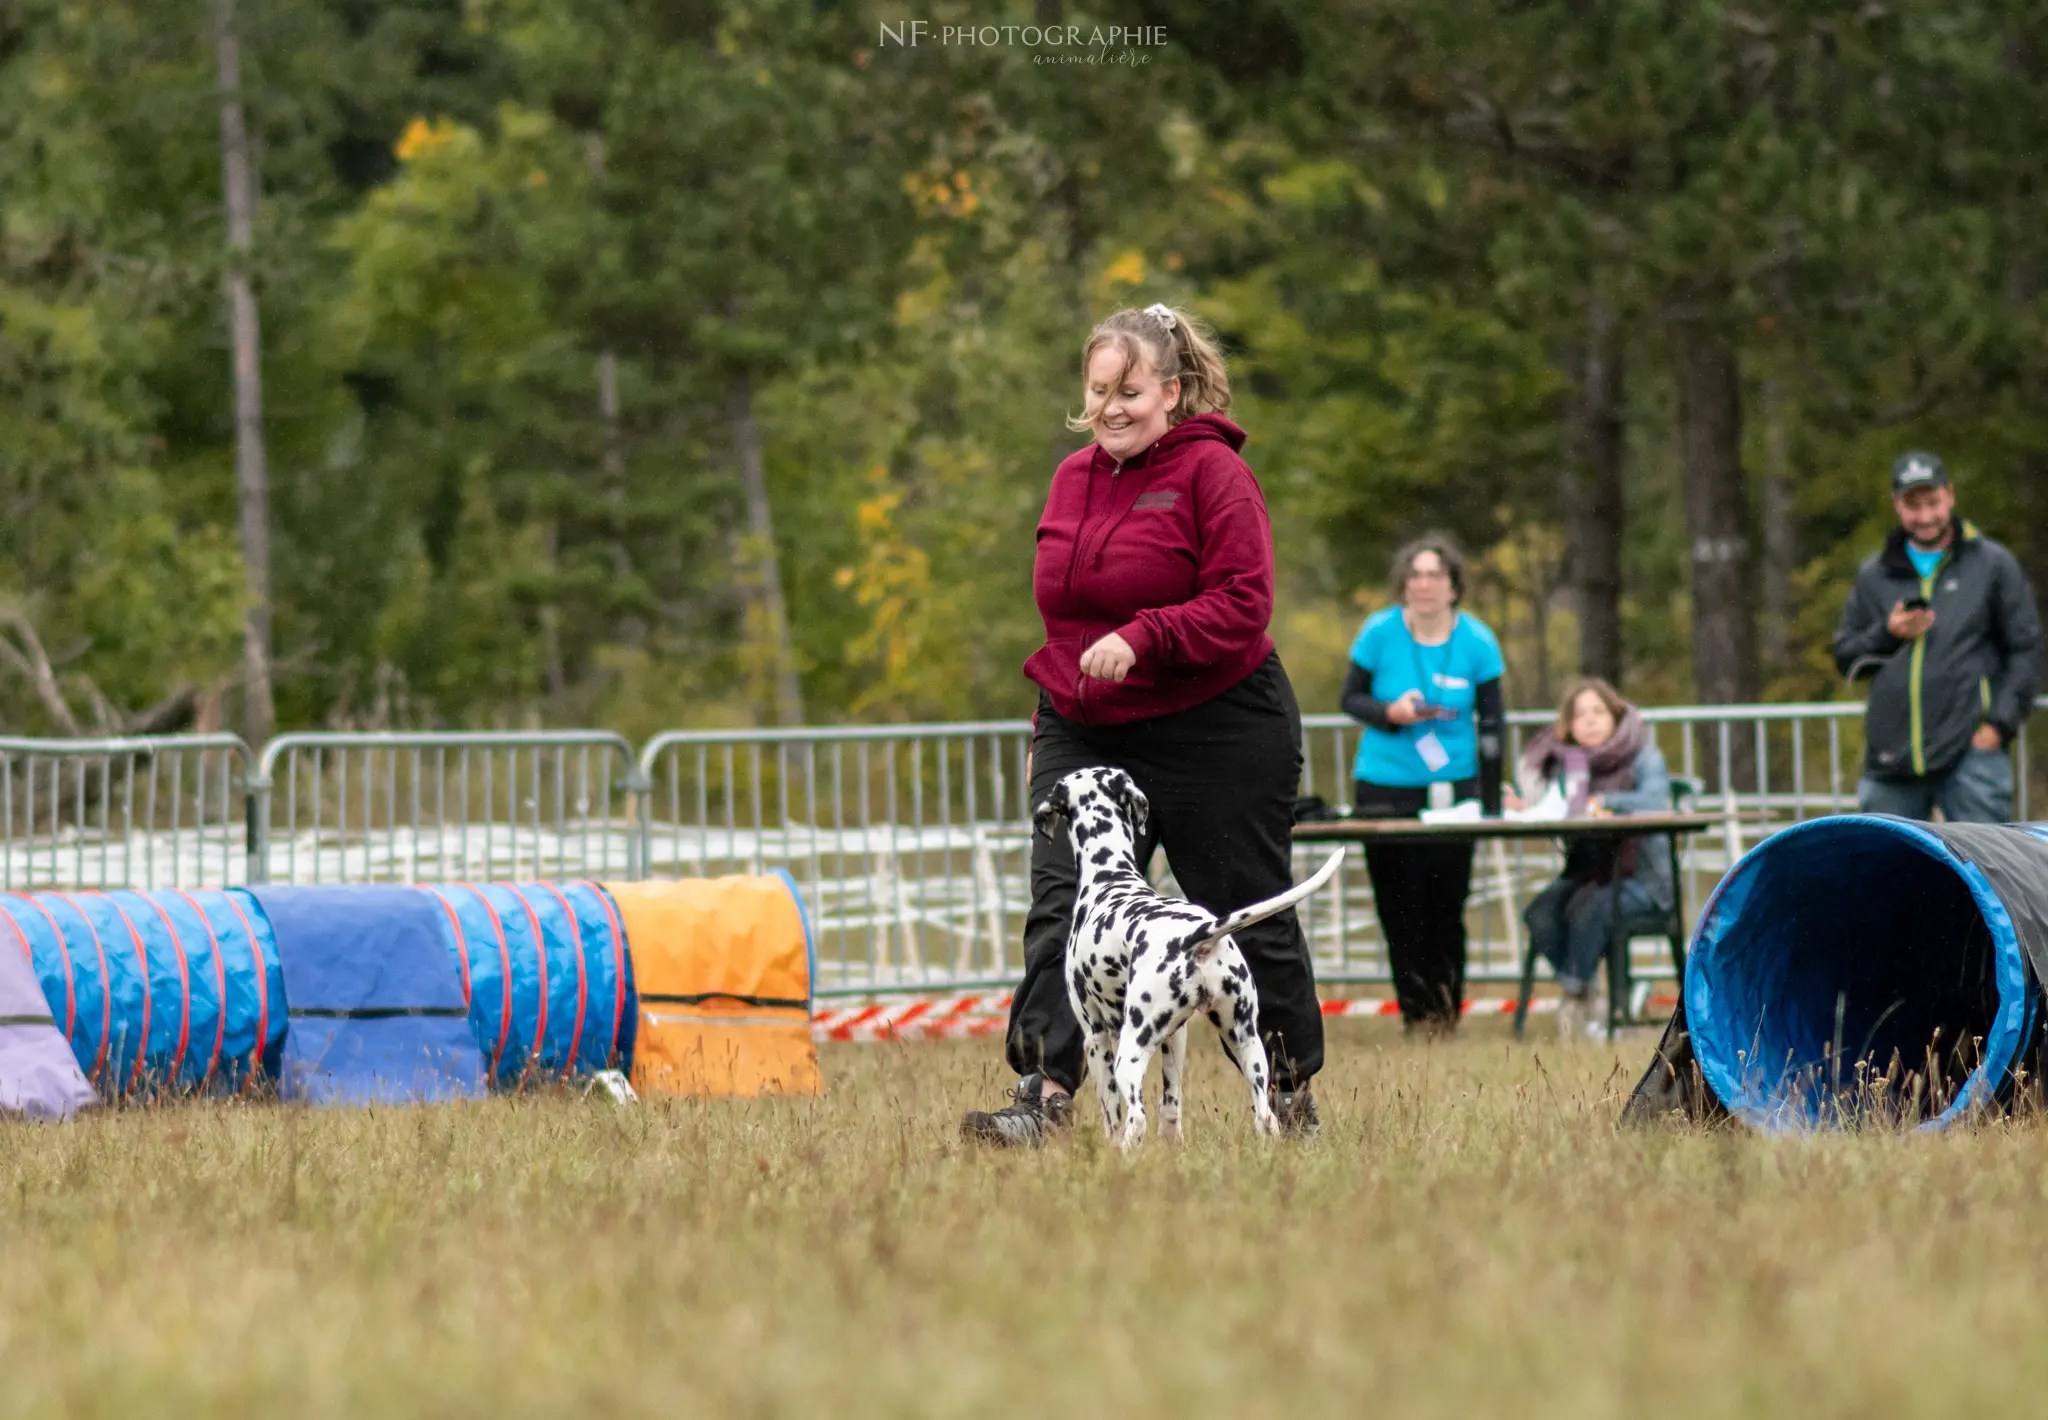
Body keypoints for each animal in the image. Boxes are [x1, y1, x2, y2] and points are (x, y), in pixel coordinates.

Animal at [1040, 766, 1343, 1155]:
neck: (1110, 876)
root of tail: (1196, 935)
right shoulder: (1176, 1037)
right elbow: (1172, 1103)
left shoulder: (1095, 1037)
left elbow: (1111, 1112)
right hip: (1248, 1044)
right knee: (1266, 1116)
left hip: (1130, 1051)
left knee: (1136, 1118)